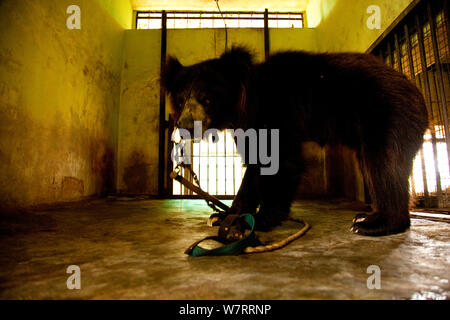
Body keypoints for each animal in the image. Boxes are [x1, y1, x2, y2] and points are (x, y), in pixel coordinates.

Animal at [163, 47, 428, 235]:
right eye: (181, 99)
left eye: (206, 98)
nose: (184, 127)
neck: (245, 103)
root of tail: (417, 92)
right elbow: (254, 167)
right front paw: (222, 217)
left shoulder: (278, 111)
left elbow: (281, 161)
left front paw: (257, 220)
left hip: (388, 114)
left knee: (384, 164)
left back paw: (372, 223)